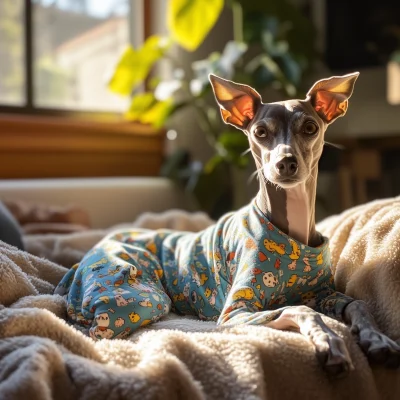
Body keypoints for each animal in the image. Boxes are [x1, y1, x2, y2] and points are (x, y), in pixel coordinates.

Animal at [55, 73, 400, 376]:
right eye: (260, 132)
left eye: (311, 127)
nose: (285, 163)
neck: (292, 230)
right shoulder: (237, 312)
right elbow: (301, 310)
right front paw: (329, 341)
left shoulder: (322, 293)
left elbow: (358, 304)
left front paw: (377, 338)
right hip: (137, 299)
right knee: (92, 331)